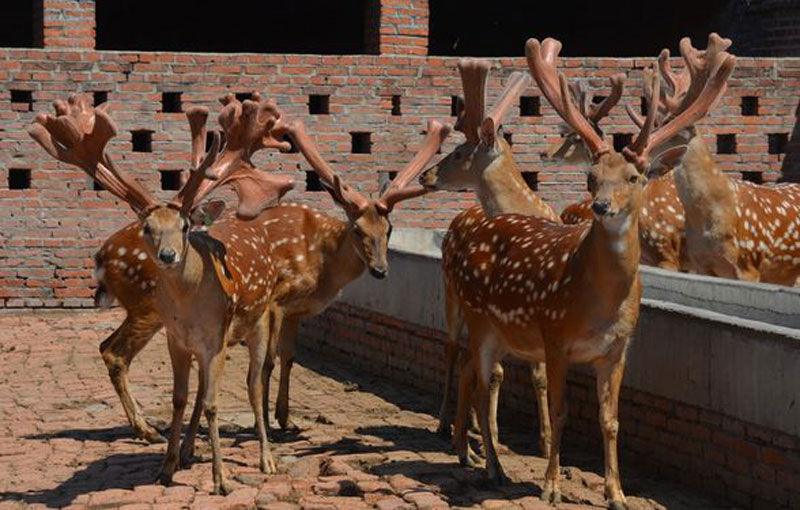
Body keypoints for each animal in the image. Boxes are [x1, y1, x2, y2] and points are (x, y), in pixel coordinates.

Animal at [28, 92, 296, 494]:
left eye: (185, 226)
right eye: (148, 227)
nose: (168, 255)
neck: (189, 306)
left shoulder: (216, 338)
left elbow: (214, 402)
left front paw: (221, 479)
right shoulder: (178, 339)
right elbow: (180, 398)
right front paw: (166, 468)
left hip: (257, 321)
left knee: (253, 382)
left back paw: (266, 459)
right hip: (155, 316)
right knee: (125, 356)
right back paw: (178, 446)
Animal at [422, 36, 736, 510]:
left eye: (635, 176)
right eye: (591, 177)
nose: (601, 207)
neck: (598, 303)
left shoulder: (619, 349)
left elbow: (611, 420)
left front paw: (617, 493)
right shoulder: (554, 337)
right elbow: (560, 410)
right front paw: (551, 486)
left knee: (478, 376)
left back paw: (476, 454)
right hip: (477, 318)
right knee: (476, 376)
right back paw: (491, 466)